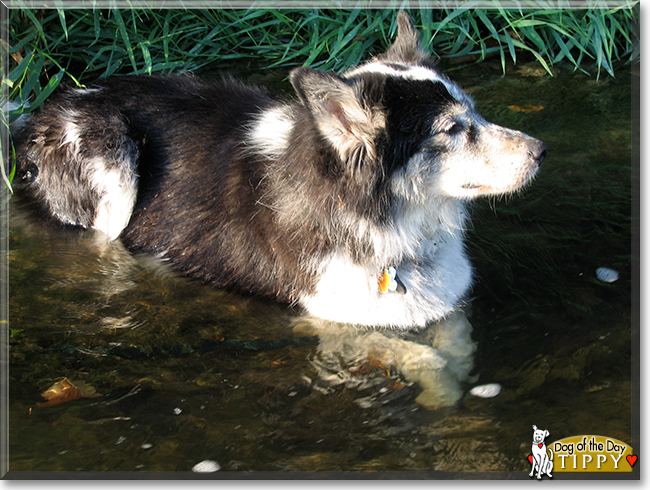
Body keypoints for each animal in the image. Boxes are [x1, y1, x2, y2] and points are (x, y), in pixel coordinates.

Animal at [11, 13, 548, 330]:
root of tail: (38, 115)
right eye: (453, 128)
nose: (542, 150)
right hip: (110, 171)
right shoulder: (335, 311)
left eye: (475, 113)